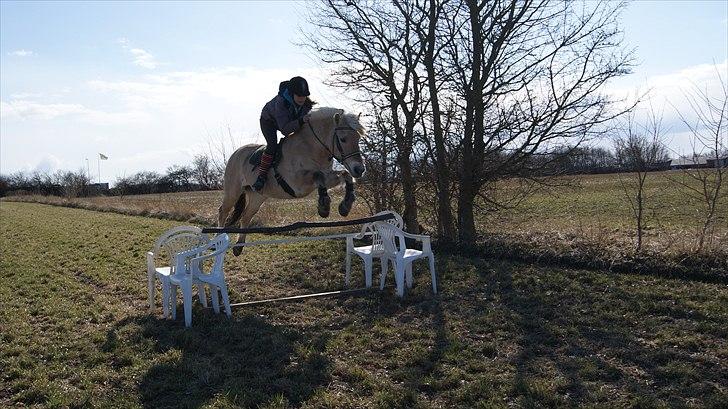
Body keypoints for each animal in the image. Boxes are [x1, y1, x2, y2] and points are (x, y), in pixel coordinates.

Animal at [216, 108, 364, 255]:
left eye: (358, 138)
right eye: (343, 139)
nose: (359, 170)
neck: (311, 147)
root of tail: (236, 153)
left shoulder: (327, 176)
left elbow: (345, 174)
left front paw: (345, 205)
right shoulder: (298, 184)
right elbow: (318, 176)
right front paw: (324, 206)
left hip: (258, 195)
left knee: (246, 215)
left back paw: (238, 247)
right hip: (233, 191)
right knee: (223, 211)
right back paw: (218, 242)